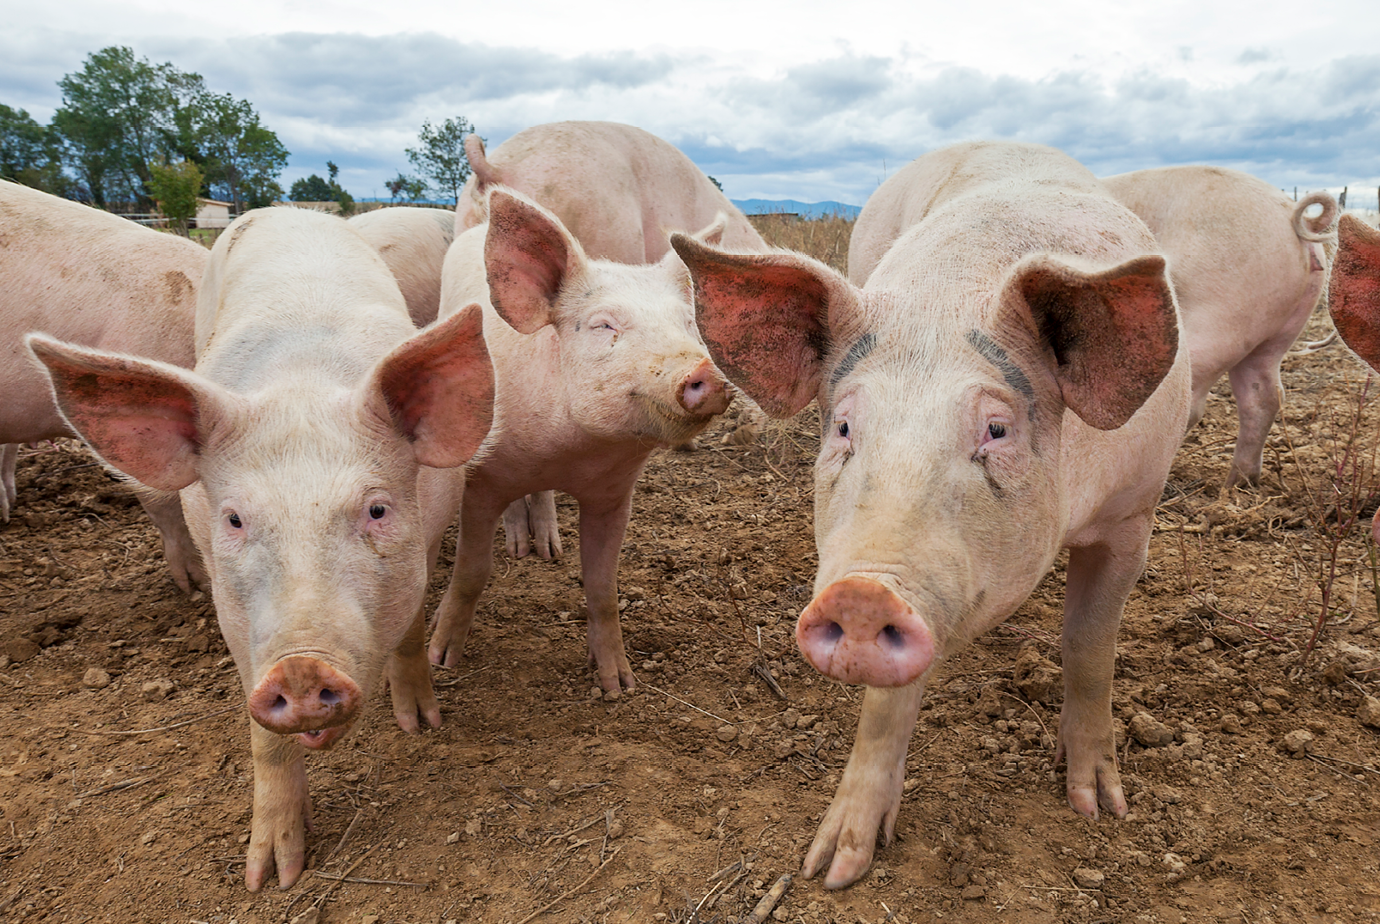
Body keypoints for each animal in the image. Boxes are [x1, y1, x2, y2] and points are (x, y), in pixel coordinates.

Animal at [27, 206, 494, 891]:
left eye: (377, 509)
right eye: (235, 519)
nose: (300, 667)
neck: (303, 381)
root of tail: (285, 210)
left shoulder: (430, 529)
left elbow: (410, 631)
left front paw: (419, 724)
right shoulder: (230, 602)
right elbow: (262, 736)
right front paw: (271, 876)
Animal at [427, 186, 731, 693]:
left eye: (687, 323)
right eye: (604, 325)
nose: (707, 373)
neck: (568, 454)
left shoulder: (613, 496)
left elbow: (602, 586)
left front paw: (618, 685)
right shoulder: (482, 480)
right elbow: (472, 571)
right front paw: (441, 659)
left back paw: (549, 550)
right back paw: (520, 549)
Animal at [673, 141, 1191, 888]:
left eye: (997, 430)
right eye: (844, 427)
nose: (863, 595)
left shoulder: (1134, 514)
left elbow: (1090, 645)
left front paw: (1099, 807)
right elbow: (887, 704)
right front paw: (831, 868)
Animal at [1102, 167, 1337, 488]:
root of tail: (1292, 214)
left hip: (1215, 314)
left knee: (1187, 401)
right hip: (1276, 329)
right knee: (1264, 395)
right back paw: (1238, 483)